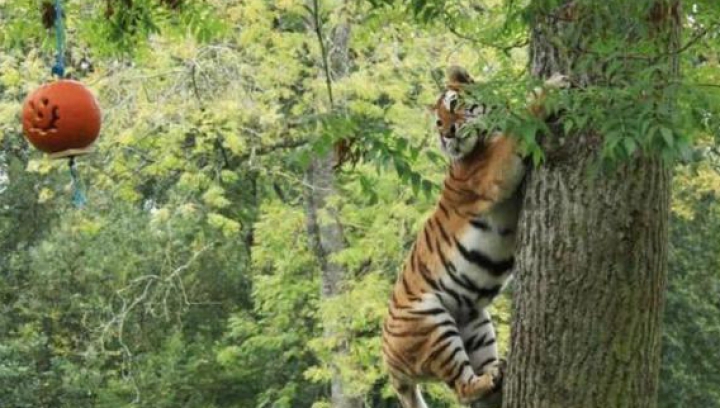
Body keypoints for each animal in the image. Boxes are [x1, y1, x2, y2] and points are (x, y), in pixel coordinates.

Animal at [382, 65, 568, 406]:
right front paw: (553, 86)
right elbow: (521, 122)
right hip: (433, 323)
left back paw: (499, 374)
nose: (446, 133)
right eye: (437, 121)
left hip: (477, 323)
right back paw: (490, 379)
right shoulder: (495, 169)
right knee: (462, 388)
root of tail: (388, 362)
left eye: (453, 105)